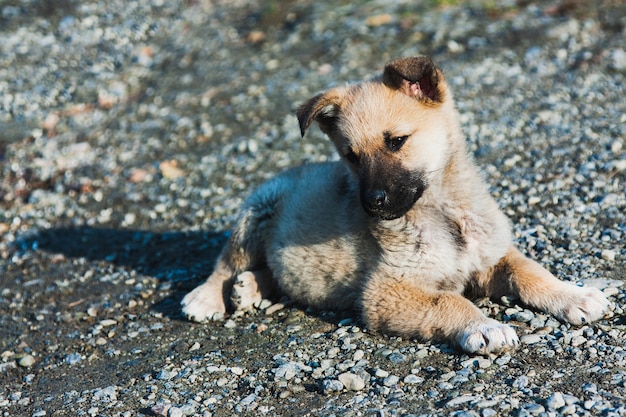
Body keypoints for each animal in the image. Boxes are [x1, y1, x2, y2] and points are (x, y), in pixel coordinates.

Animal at [182, 56, 608, 354]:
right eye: (351, 157)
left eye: (397, 141)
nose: (373, 202)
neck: (445, 216)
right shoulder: (386, 292)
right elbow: (447, 300)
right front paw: (482, 326)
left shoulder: (491, 256)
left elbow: (531, 272)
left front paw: (574, 295)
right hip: (256, 213)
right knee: (225, 262)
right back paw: (208, 296)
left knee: (274, 275)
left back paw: (249, 289)